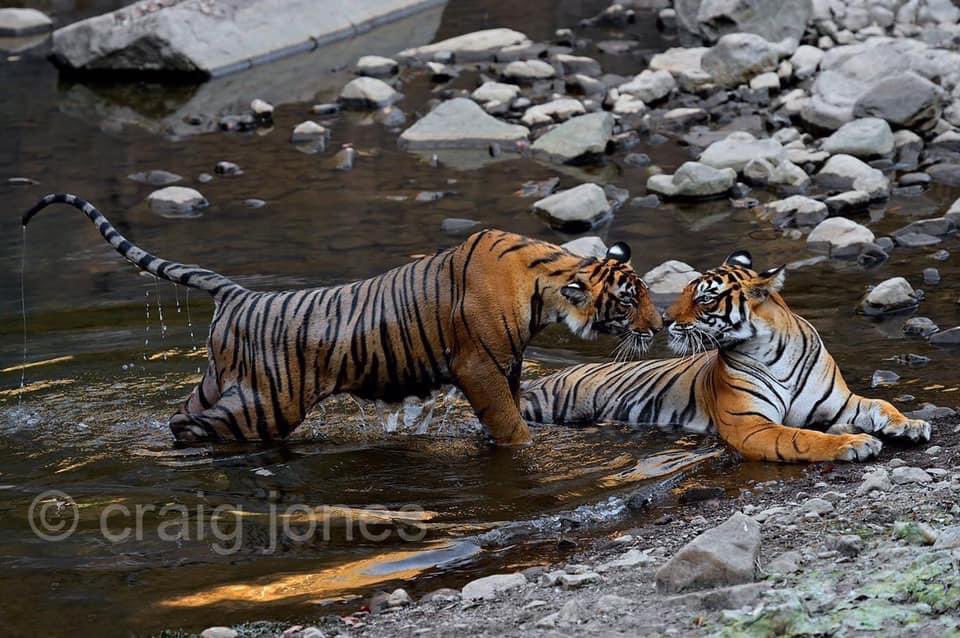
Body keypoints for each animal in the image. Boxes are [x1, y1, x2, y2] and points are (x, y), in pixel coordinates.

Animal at [23, 193, 663, 446]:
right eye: (630, 301)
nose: (658, 329)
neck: (546, 280)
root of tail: (236, 294)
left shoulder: (504, 364)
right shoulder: (479, 366)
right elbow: (508, 424)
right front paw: (523, 446)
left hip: (219, 382)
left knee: (179, 416)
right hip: (266, 403)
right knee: (195, 428)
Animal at [520, 250, 932, 463]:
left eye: (704, 297)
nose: (665, 321)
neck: (774, 351)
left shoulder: (841, 401)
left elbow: (881, 403)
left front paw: (910, 424)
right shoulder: (751, 426)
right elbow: (803, 437)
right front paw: (853, 443)